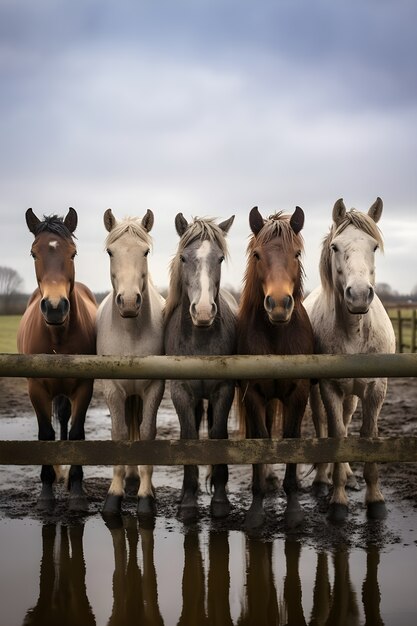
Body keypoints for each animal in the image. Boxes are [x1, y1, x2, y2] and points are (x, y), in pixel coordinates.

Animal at [16, 207, 96, 510]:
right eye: (33, 253)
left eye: (72, 253)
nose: (54, 307)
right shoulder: (36, 388)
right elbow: (46, 435)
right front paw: (46, 493)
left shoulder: (84, 387)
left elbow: (75, 434)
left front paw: (77, 492)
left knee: (64, 418)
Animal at [302, 197, 394, 520]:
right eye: (335, 247)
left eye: (374, 246)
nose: (359, 295)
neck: (354, 332)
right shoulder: (329, 387)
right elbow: (338, 437)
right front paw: (338, 501)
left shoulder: (376, 388)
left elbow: (367, 437)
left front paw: (375, 498)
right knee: (324, 424)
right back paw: (322, 478)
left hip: (353, 393)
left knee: (344, 417)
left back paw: (349, 476)